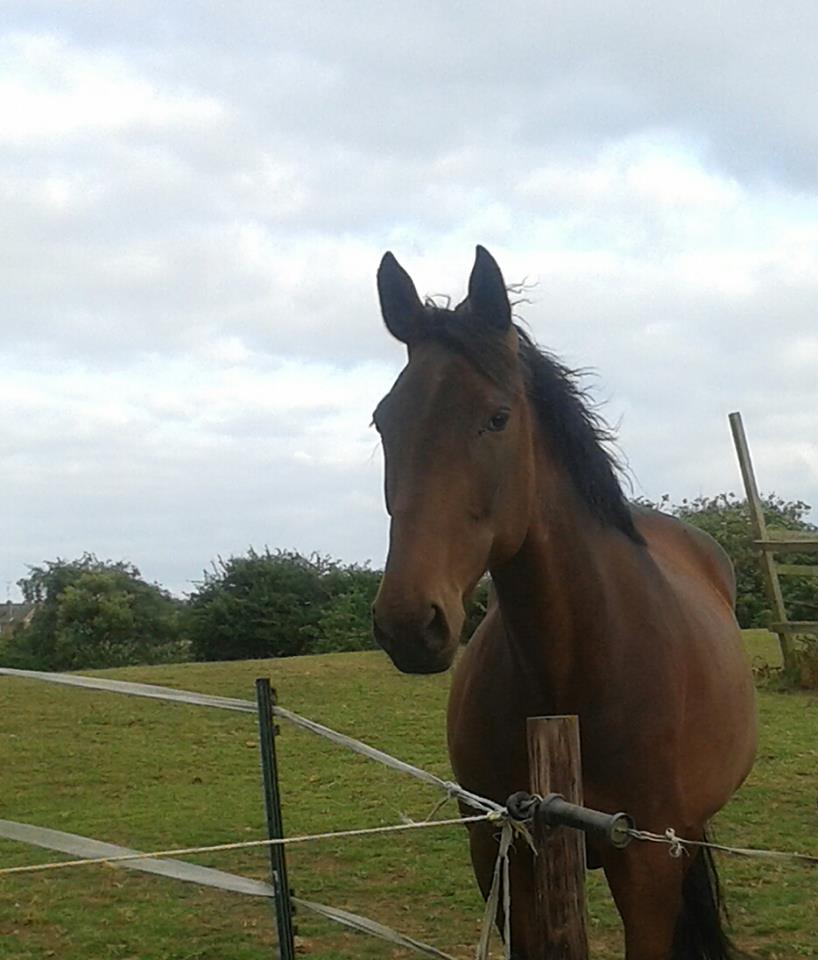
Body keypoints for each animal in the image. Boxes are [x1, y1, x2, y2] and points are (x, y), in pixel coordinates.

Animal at [372, 248, 760, 960]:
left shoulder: (647, 866)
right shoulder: (498, 847)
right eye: (385, 420)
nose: (409, 622)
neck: (575, 672)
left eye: (498, 417)